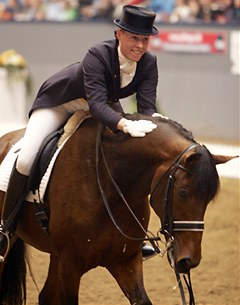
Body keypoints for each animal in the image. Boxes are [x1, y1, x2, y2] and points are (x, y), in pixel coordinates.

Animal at [0, 112, 234, 304]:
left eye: (208, 199)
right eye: (182, 193)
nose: (189, 261)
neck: (110, 185)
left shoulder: (125, 261)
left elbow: (142, 300)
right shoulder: (70, 264)